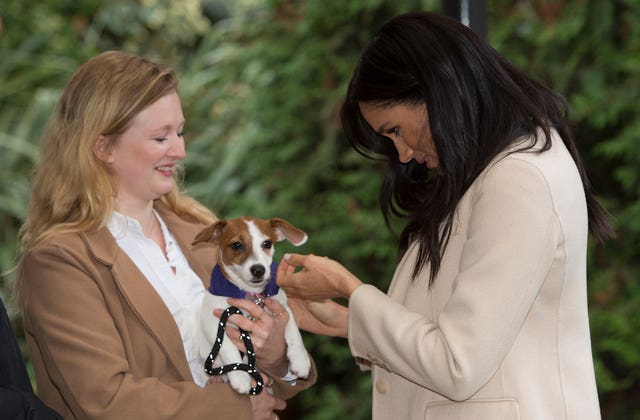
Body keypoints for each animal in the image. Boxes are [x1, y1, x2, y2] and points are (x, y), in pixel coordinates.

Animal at [190, 217, 310, 394]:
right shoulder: (213, 323)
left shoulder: (283, 309)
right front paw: (240, 377)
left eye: (267, 243)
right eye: (236, 245)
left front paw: (300, 360)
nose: (258, 270)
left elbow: (294, 332)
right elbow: (228, 348)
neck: (251, 295)